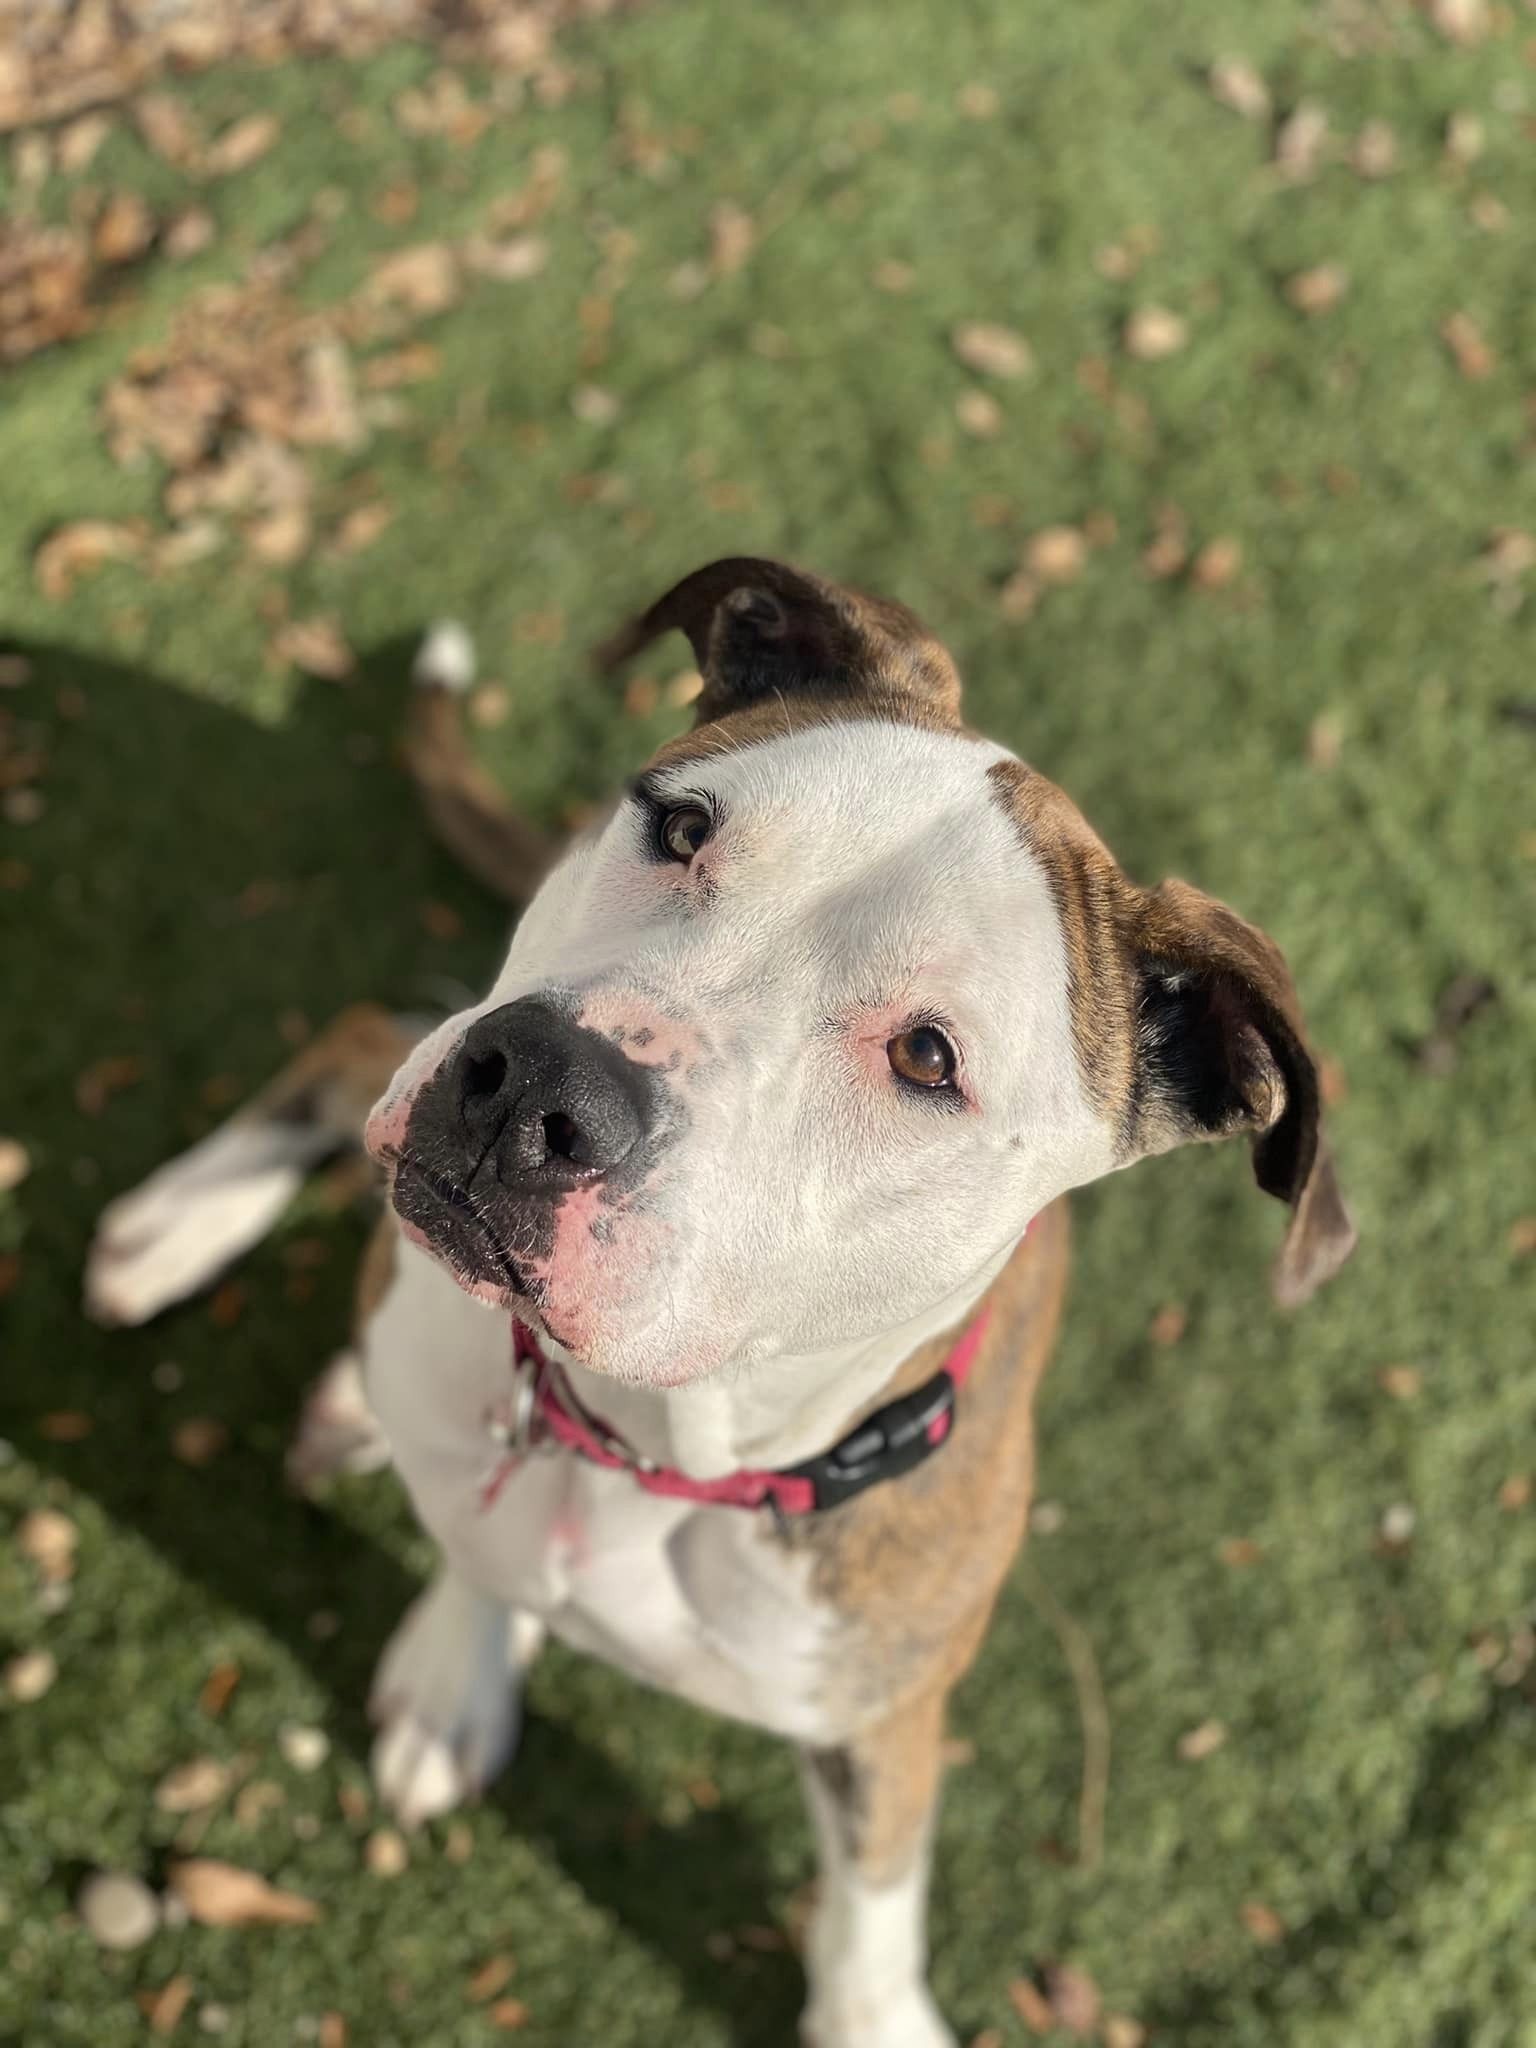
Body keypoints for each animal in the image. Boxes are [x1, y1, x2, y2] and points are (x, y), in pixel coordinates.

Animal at [87, 561, 1359, 2048]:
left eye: (930, 1058)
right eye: (682, 823)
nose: (538, 1086)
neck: (652, 1447)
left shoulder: (885, 1707)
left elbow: (874, 1883)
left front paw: (871, 2012)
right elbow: (478, 1547)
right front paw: (462, 1664)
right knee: (362, 1036)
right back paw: (178, 1229)